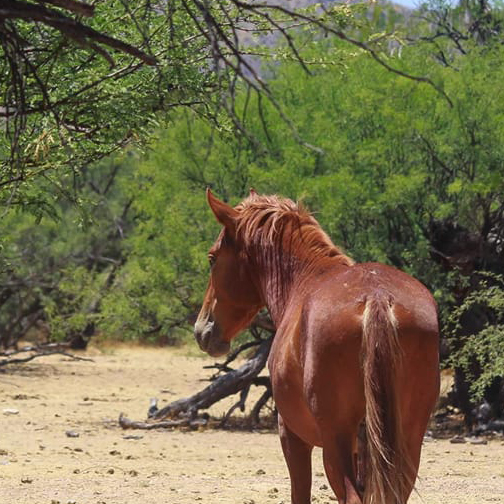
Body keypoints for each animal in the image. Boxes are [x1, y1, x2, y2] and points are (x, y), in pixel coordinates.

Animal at [195, 189, 440, 504]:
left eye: (212, 259)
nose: (202, 329)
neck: (304, 280)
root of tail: (376, 296)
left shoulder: (292, 437)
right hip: (406, 441)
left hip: (336, 442)